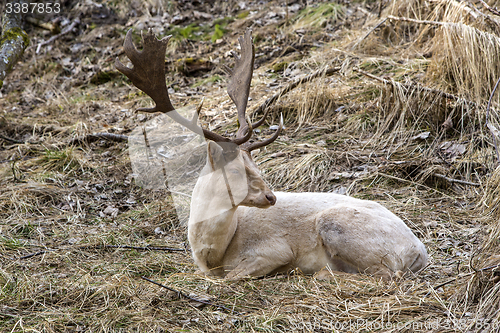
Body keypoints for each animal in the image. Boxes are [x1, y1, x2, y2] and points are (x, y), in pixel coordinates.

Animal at [115, 28, 428, 278]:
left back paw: (320, 274)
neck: (213, 254)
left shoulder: (274, 250)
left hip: (339, 227)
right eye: (236, 168)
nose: (271, 197)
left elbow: (232, 277)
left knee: (386, 273)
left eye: (255, 165)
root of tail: (419, 250)